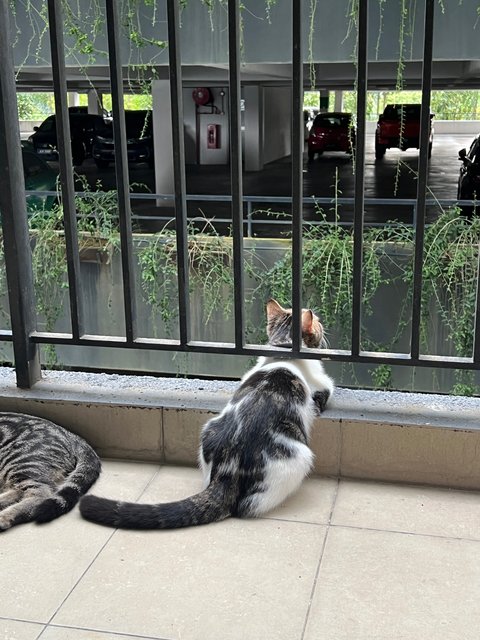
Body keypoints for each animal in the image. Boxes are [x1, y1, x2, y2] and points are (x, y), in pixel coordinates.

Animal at [79, 300, 334, 528]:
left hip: (208, 429)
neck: (284, 353)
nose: (323, 325)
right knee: (248, 507)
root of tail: (226, 472)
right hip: (300, 457)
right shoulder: (323, 388)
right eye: (319, 322)